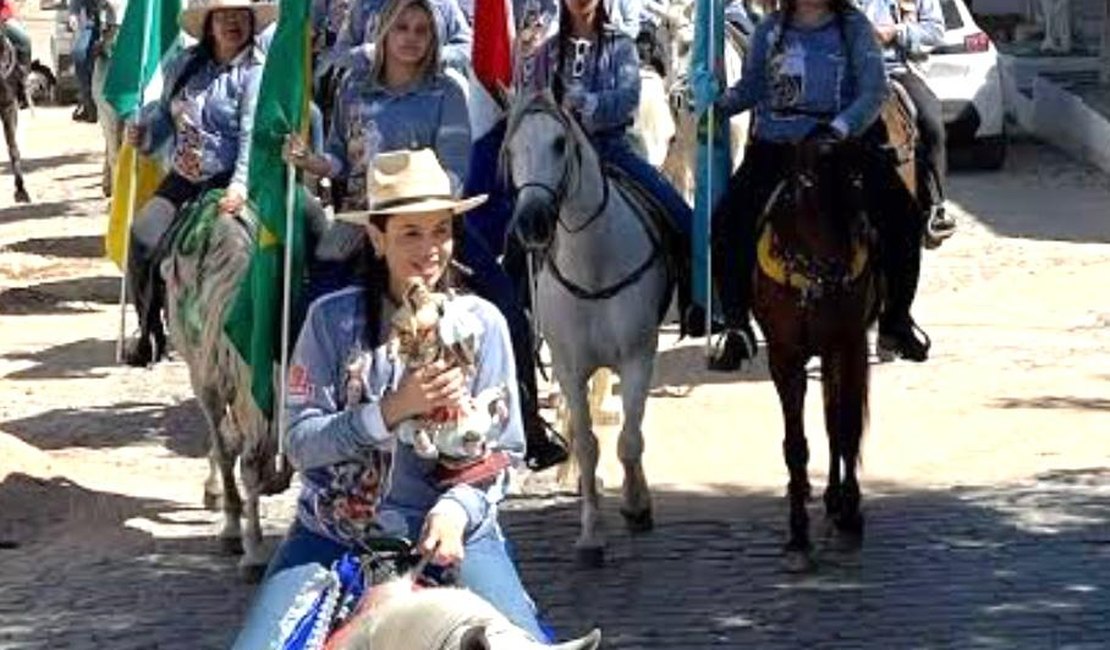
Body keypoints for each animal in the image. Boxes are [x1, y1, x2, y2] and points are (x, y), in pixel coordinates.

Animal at [754, 135, 874, 567]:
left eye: (857, 179)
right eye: (804, 182)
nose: (840, 273)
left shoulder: (850, 344)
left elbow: (846, 427)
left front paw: (851, 512)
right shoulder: (784, 356)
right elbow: (796, 445)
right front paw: (798, 533)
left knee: (835, 423)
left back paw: (835, 498)